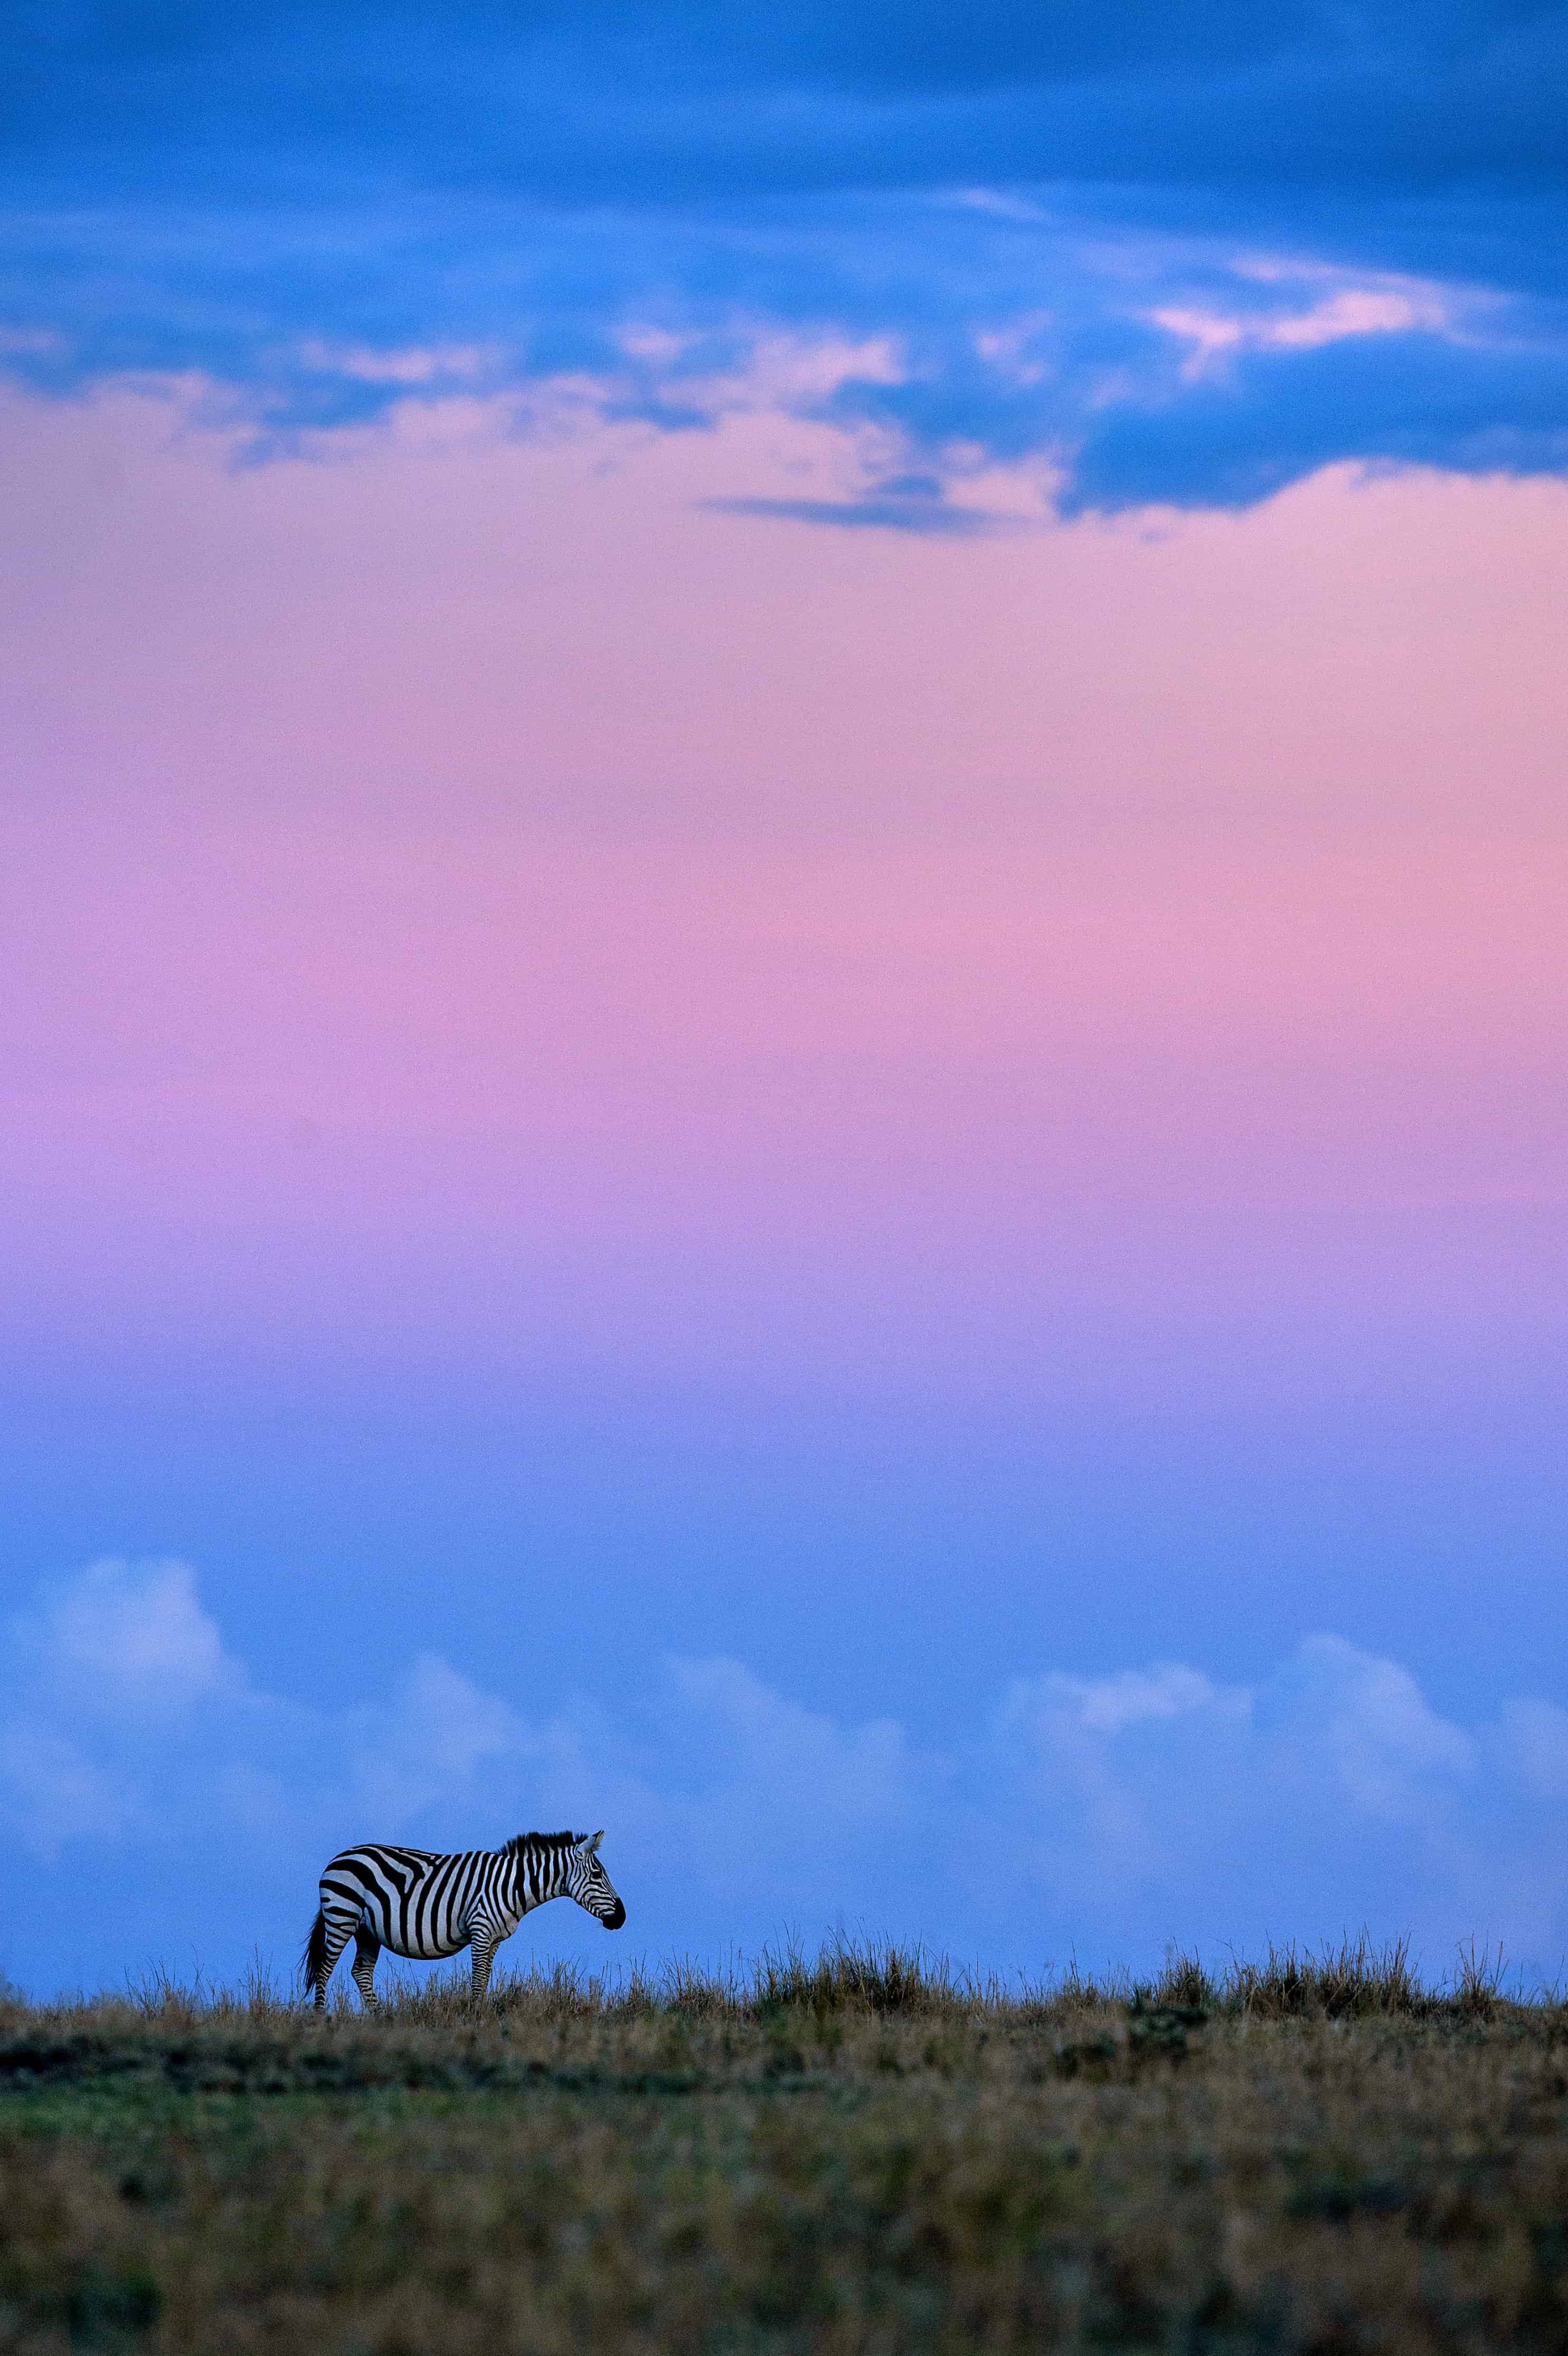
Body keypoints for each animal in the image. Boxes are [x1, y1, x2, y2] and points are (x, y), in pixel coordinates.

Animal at [302, 1828, 626, 2008]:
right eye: (597, 1875)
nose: (621, 1919)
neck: (511, 1886)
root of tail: (339, 1857)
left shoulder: (494, 1939)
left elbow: (485, 1980)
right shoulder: (481, 1931)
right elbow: (478, 1979)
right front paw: (475, 2018)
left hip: (367, 1930)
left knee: (361, 1972)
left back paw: (382, 2018)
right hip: (342, 1917)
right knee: (325, 1969)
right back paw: (321, 2020)